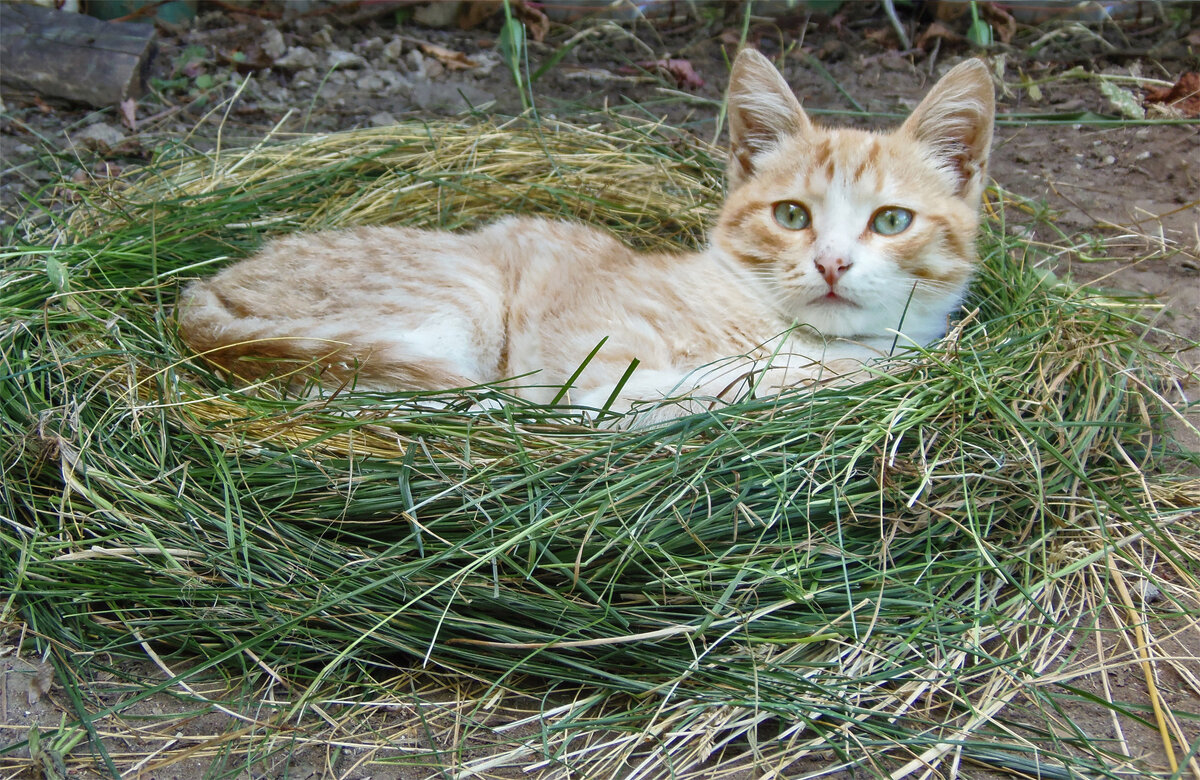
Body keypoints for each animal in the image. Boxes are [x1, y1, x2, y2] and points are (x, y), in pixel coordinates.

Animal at [177, 48, 998, 424]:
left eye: (890, 220)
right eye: (792, 215)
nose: (831, 263)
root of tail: (203, 290)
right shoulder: (590, 366)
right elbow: (689, 388)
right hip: (458, 301)